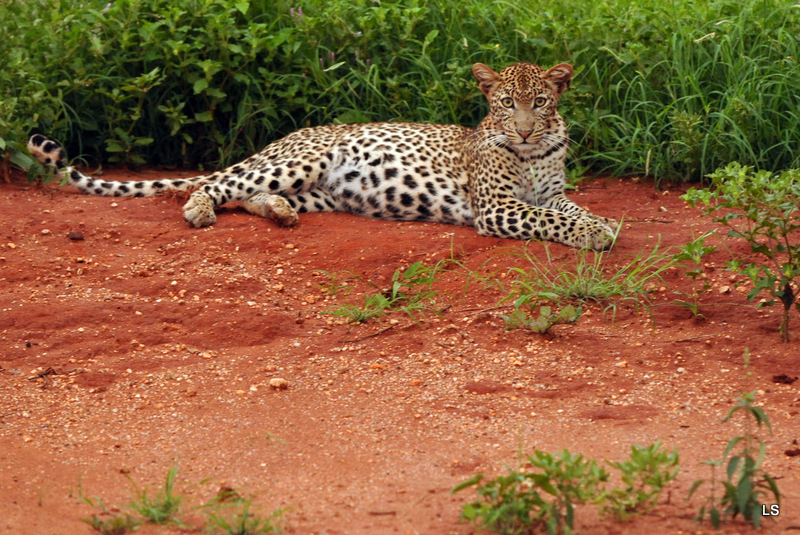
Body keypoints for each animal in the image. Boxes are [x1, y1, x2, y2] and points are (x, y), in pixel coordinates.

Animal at [23, 61, 612, 250]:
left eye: (540, 102)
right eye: (507, 104)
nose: (526, 131)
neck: (532, 155)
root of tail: (285, 137)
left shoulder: (551, 191)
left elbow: (568, 208)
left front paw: (603, 222)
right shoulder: (497, 207)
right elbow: (546, 219)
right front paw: (594, 234)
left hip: (325, 194)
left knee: (251, 197)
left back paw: (281, 214)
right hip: (301, 161)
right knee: (216, 185)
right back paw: (198, 210)